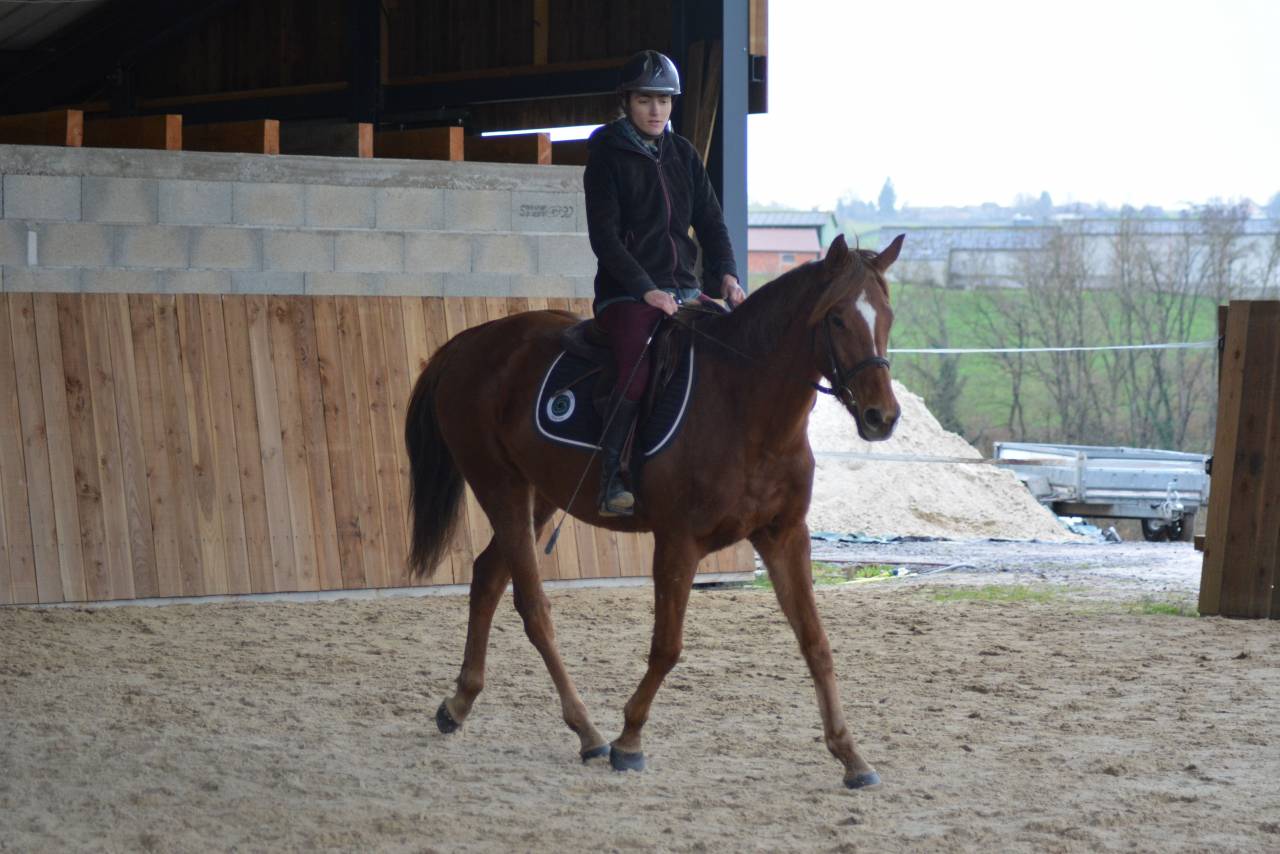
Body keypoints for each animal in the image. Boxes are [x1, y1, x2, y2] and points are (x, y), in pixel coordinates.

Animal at [404, 232, 904, 789]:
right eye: (837, 318)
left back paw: (459, 703)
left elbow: (816, 643)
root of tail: (471, 341)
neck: (746, 408)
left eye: (887, 315)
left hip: (541, 496)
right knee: (533, 607)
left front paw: (851, 756)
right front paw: (629, 740)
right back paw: (588, 732)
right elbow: (667, 647)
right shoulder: (679, 542)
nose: (882, 418)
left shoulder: (785, 535)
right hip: (501, 486)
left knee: (488, 575)